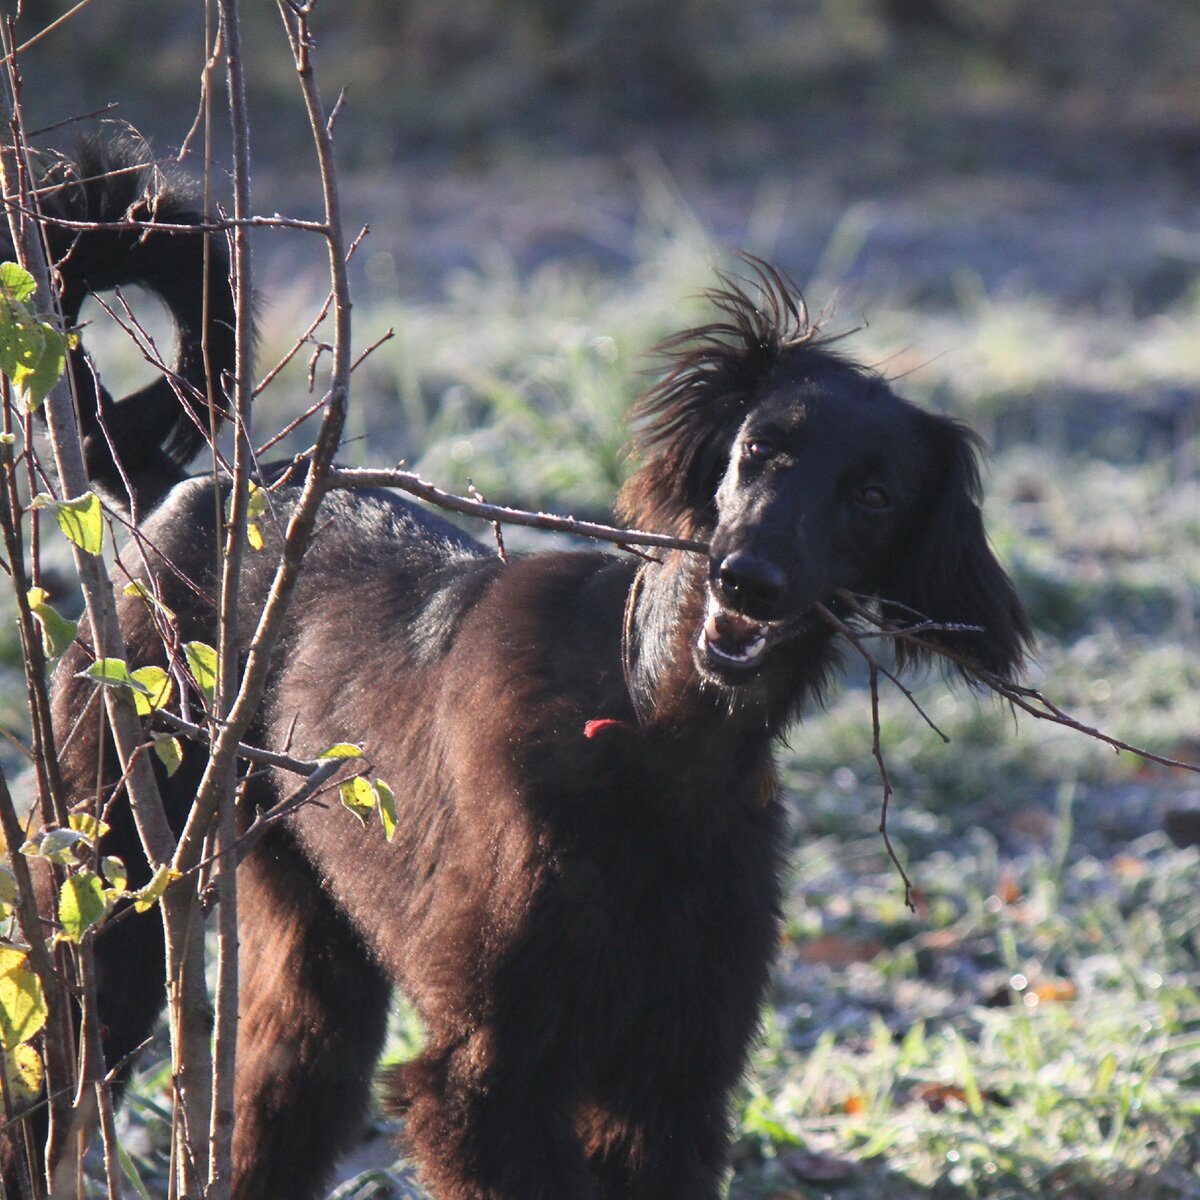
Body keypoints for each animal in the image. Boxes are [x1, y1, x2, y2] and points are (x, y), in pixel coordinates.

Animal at [2, 140, 1032, 1200]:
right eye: (757, 449)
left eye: (874, 496)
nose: (748, 579)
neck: (656, 734)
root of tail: (184, 489)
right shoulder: (485, 1076)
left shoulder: (671, 1087)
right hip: (111, 898)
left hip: (314, 955)